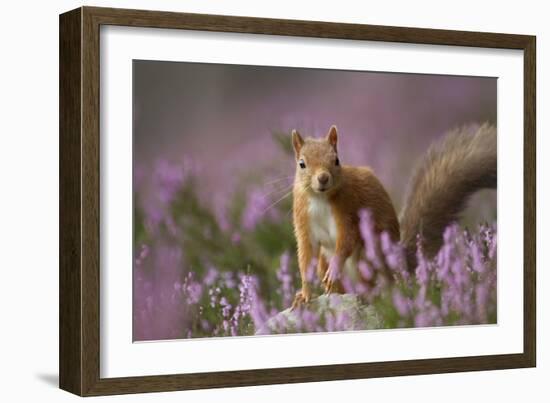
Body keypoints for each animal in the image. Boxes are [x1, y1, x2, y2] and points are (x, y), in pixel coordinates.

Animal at [294, 124, 500, 308]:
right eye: (302, 164)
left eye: (336, 160)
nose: (323, 178)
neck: (320, 198)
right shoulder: (303, 221)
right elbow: (305, 256)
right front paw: (304, 294)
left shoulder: (349, 210)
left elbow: (347, 239)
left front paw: (334, 269)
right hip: (325, 260)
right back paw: (335, 291)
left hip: (369, 255)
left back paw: (366, 295)